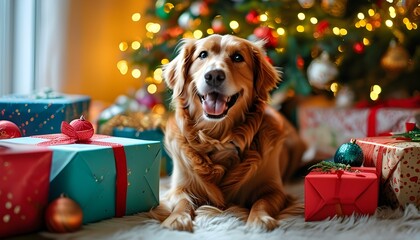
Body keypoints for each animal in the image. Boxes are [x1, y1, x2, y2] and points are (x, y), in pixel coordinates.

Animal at [150, 34, 306, 232]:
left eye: (238, 57)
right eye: (202, 55)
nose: (214, 76)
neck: (218, 139)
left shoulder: (275, 190)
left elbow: (262, 202)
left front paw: (259, 220)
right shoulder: (179, 188)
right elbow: (182, 202)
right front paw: (177, 218)